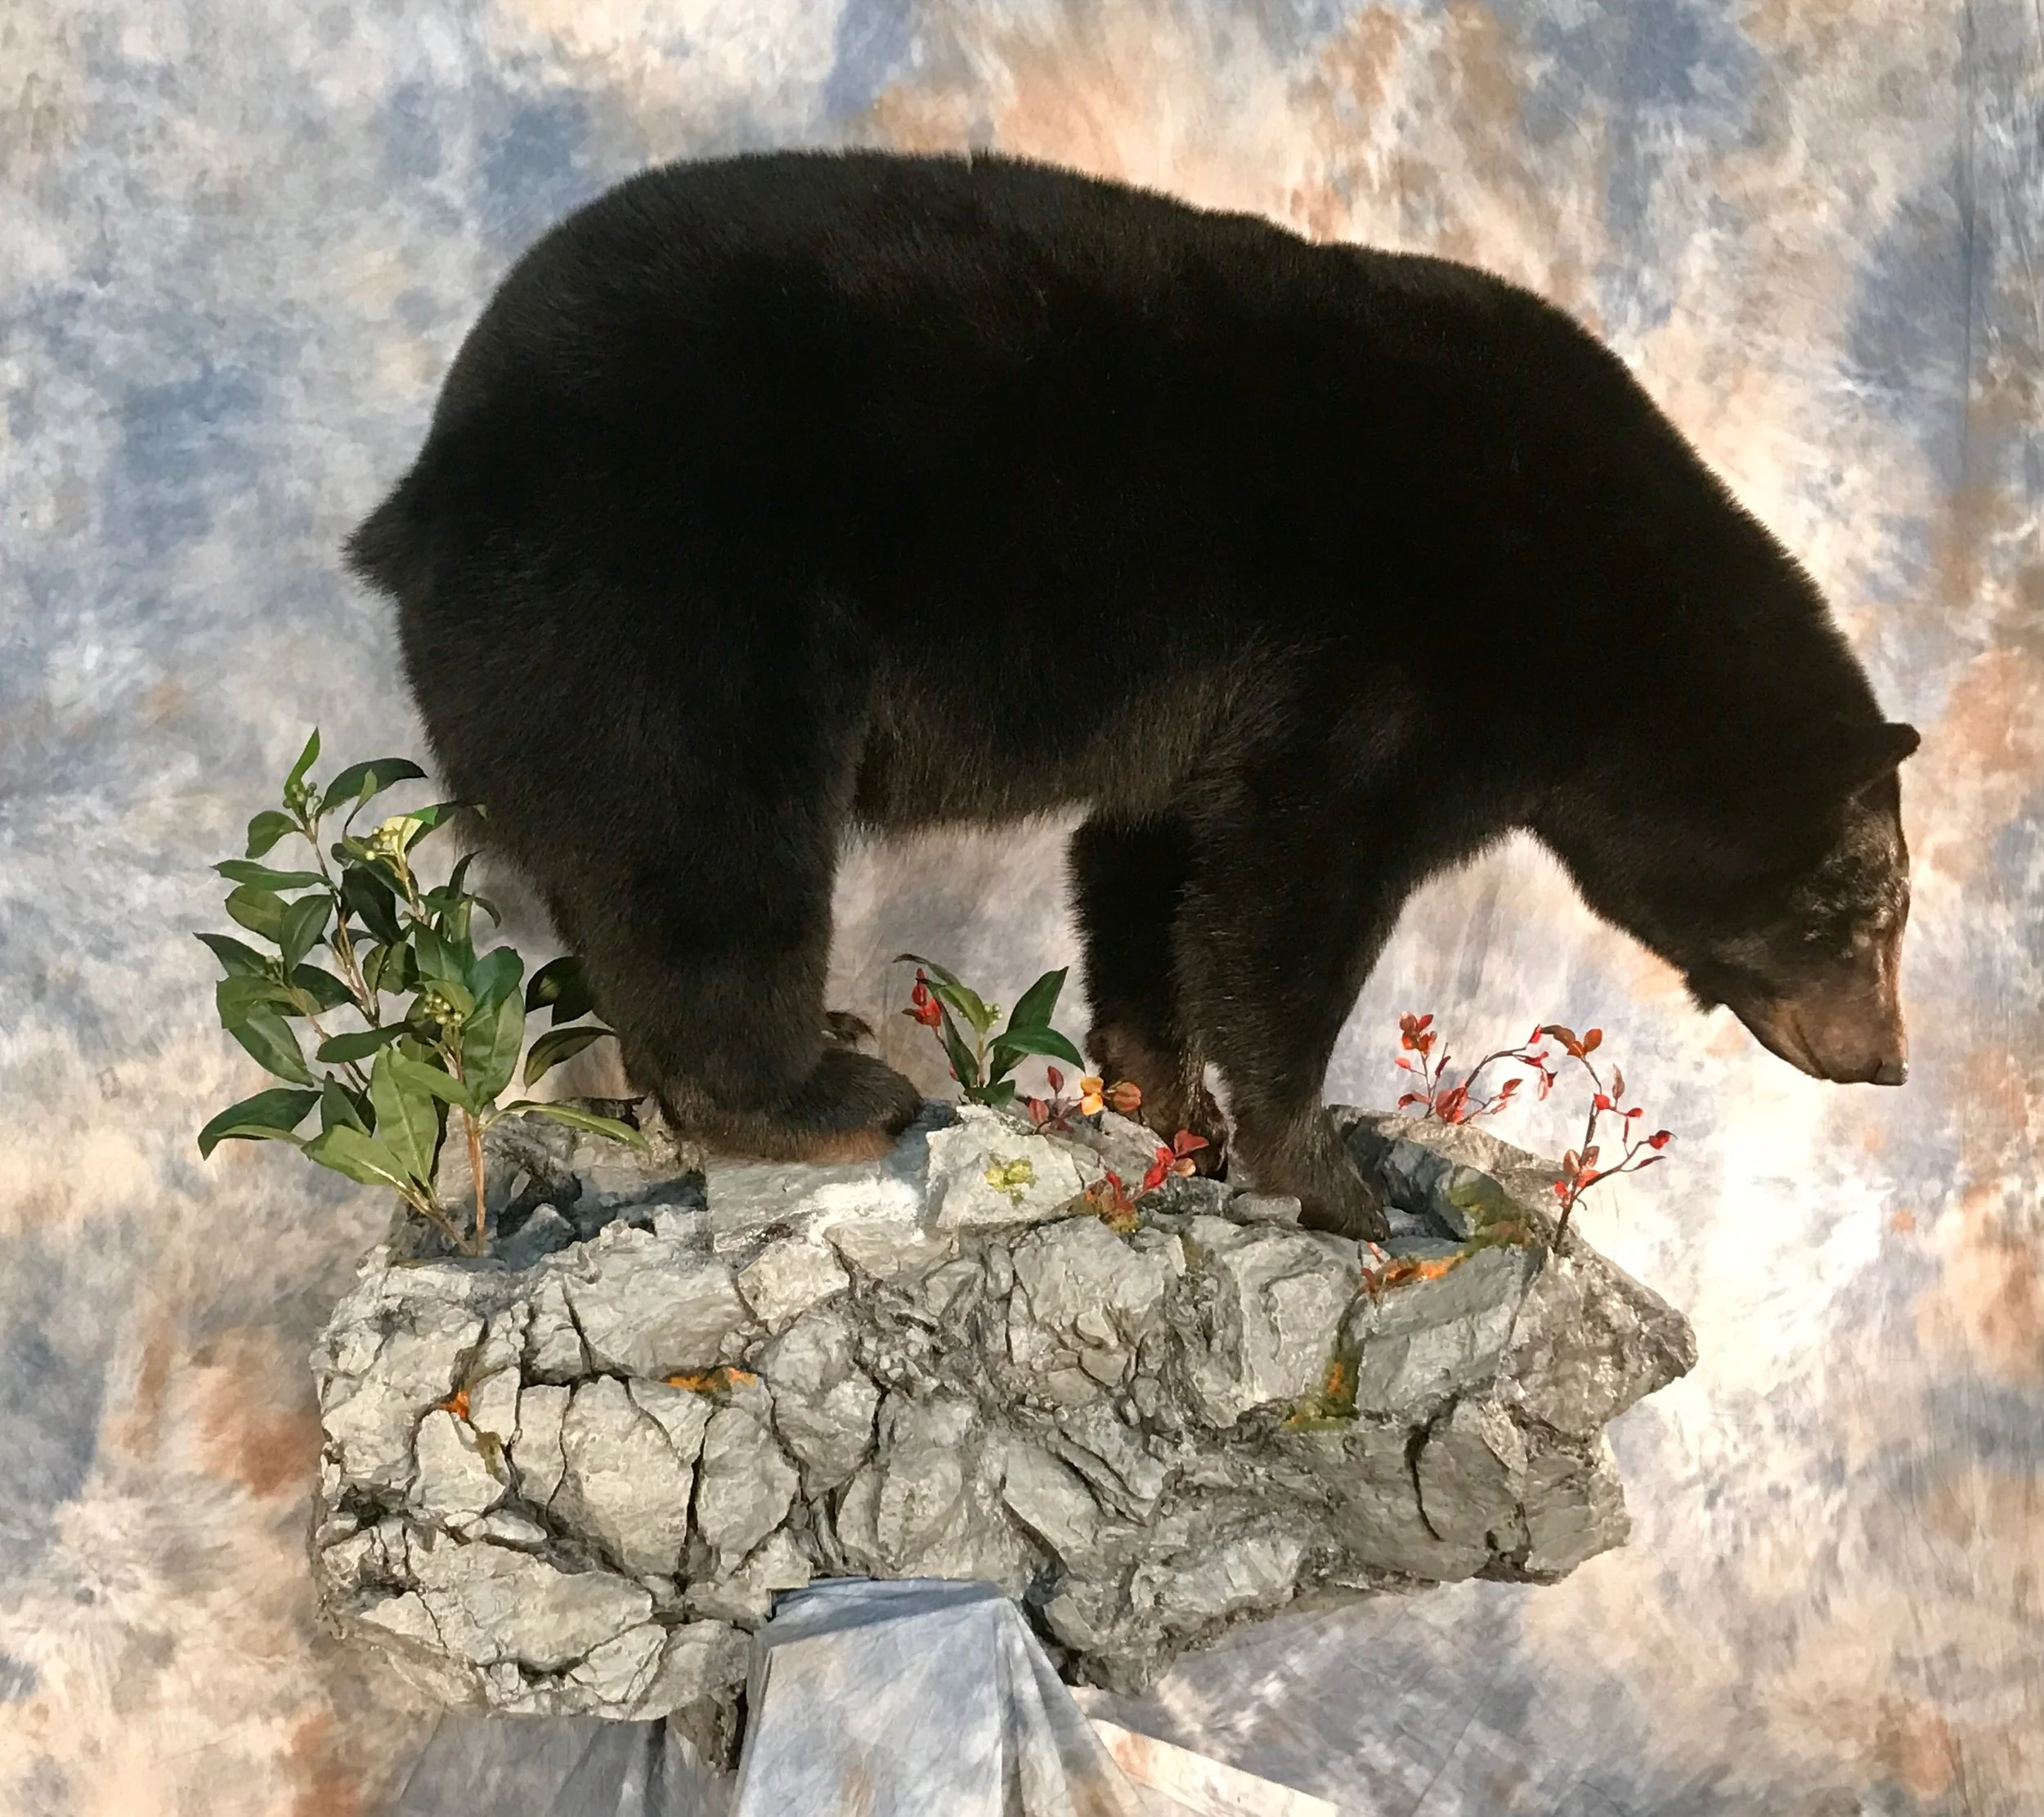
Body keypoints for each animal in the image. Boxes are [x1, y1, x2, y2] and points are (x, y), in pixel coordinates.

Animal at [346, 149, 1919, 1242]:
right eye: (1872, 915)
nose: (1893, 1060)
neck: (1611, 607)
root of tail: (423, 485)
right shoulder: (1391, 658)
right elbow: (1290, 888)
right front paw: (1331, 1176)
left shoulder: (1217, 717)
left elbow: (1156, 868)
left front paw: (1172, 1108)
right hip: (663, 600)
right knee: (704, 844)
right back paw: (822, 1096)